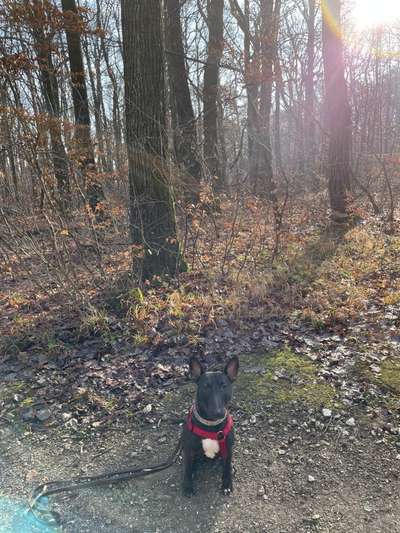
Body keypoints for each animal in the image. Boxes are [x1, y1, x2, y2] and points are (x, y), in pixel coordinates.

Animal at [183, 356, 239, 496]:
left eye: (224, 386)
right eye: (206, 387)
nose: (218, 412)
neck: (211, 425)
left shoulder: (228, 449)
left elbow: (227, 467)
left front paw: (227, 484)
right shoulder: (188, 449)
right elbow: (187, 467)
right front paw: (187, 485)